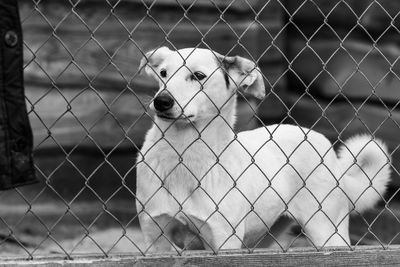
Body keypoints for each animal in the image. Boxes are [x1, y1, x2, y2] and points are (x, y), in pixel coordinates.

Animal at [136, 46, 392, 253]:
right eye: (163, 74)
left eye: (198, 76)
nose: (161, 101)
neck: (183, 155)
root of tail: (317, 137)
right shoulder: (155, 238)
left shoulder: (223, 240)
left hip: (328, 232)